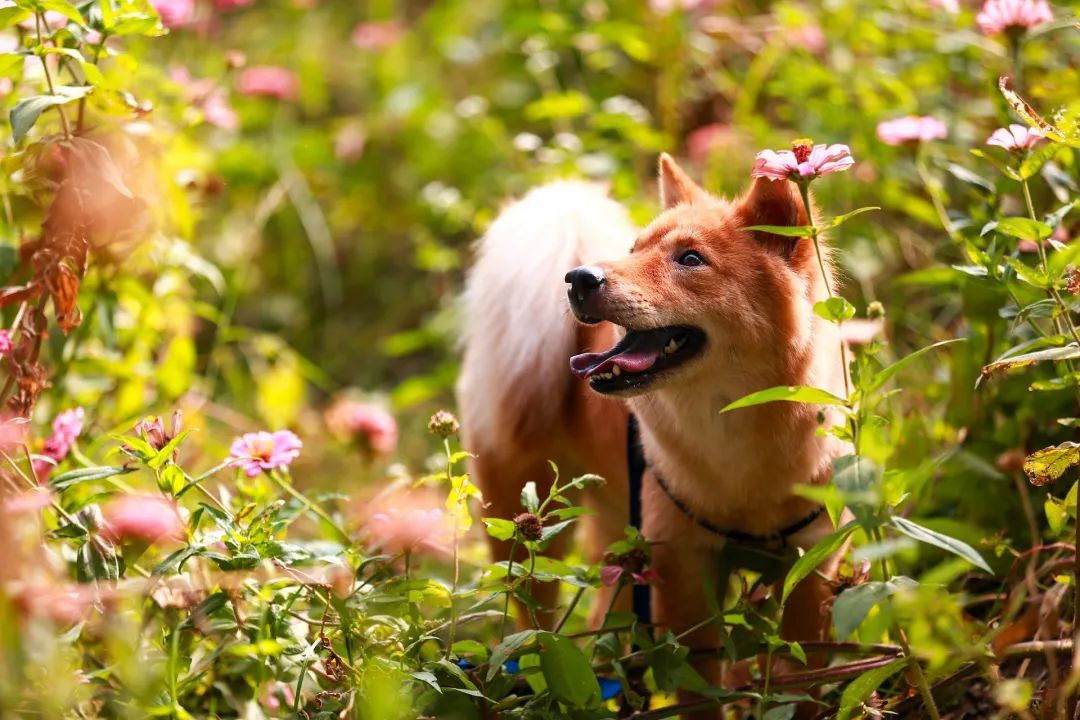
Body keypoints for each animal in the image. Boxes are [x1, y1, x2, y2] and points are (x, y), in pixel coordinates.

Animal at [457, 152, 851, 716]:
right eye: (634, 250)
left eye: (689, 259)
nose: (578, 278)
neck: (737, 434)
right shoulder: (682, 573)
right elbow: (701, 691)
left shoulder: (812, 566)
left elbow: (801, 686)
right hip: (528, 534)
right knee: (532, 624)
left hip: (621, 546)